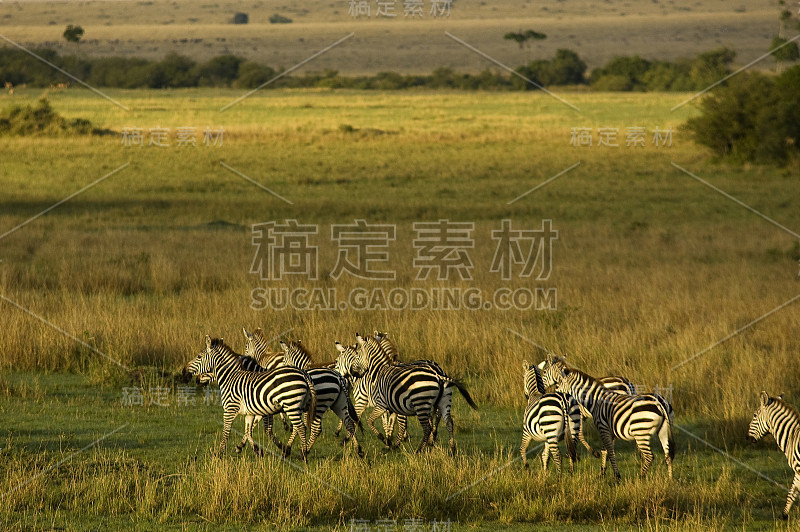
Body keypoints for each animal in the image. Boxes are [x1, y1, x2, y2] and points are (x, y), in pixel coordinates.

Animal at [184, 338, 316, 460]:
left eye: (199, 356)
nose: (184, 371)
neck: (230, 377)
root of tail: (303, 374)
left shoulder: (230, 409)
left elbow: (227, 431)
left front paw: (219, 453)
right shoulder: (250, 412)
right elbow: (248, 431)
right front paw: (257, 450)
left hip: (291, 405)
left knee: (301, 427)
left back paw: (303, 455)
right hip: (299, 406)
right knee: (301, 427)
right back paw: (297, 450)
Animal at [744, 390, 800, 520]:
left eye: (754, 415)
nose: (747, 437)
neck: (791, 436)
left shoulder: (799, 467)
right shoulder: (797, 470)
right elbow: (792, 492)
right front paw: (784, 515)